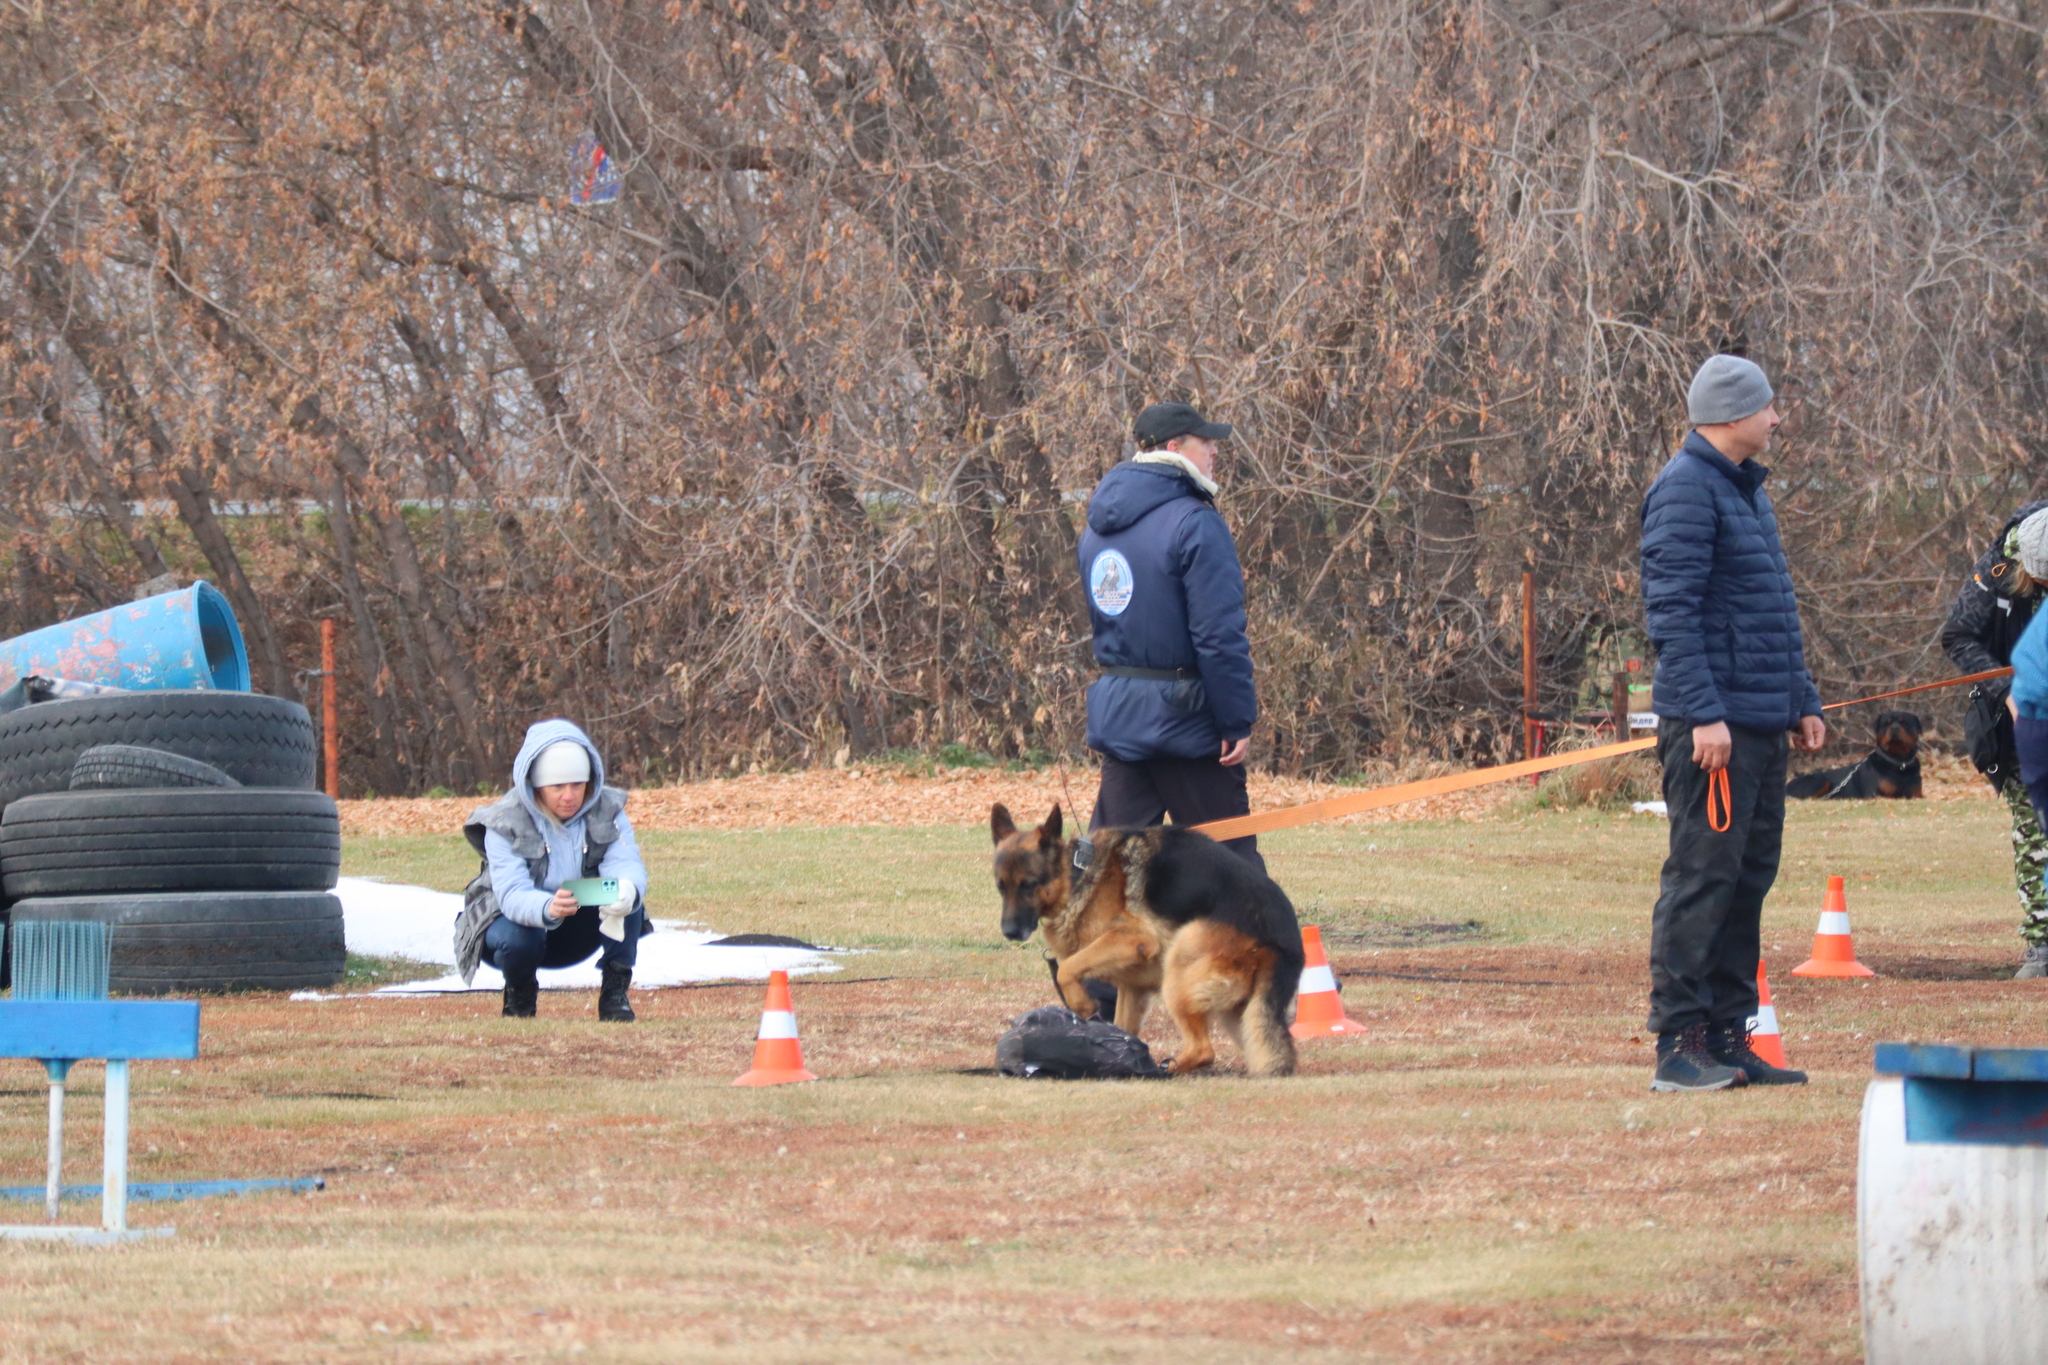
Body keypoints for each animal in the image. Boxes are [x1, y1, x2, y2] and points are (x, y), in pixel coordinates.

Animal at [987, 802, 1302, 1080]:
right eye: (1001, 887)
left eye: (1029, 885)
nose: (1010, 932)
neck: (1079, 875)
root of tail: (1289, 943)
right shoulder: (1132, 989)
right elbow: (1123, 1027)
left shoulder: (1134, 939)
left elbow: (1068, 968)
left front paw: (1082, 1006)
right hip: (1239, 1015)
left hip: (1180, 963)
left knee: (1203, 1050)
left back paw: (1164, 1070)